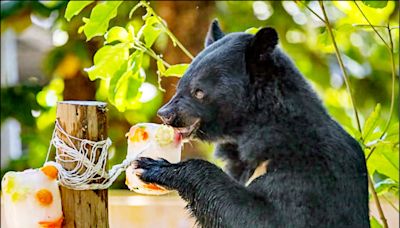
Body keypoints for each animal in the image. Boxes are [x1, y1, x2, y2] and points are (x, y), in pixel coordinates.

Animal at [136, 20, 370, 228]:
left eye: (199, 92)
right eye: (180, 85)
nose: (165, 114)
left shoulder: (309, 174)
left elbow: (266, 218)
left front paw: (154, 165)